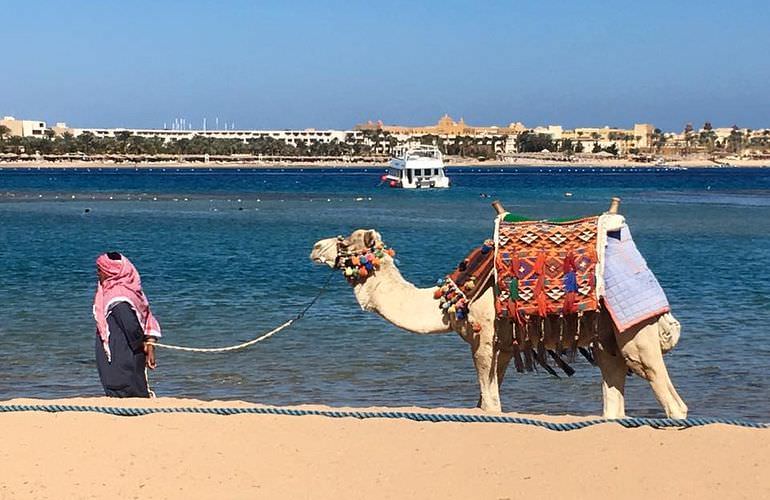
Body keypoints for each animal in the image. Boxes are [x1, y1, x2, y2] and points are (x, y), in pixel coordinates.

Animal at [308, 203, 688, 418]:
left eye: (346, 242)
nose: (315, 247)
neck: (453, 299)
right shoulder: (503, 348)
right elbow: (485, 402)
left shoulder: (485, 337)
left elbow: (491, 404)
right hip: (606, 340)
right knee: (613, 397)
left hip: (636, 335)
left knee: (672, 401)